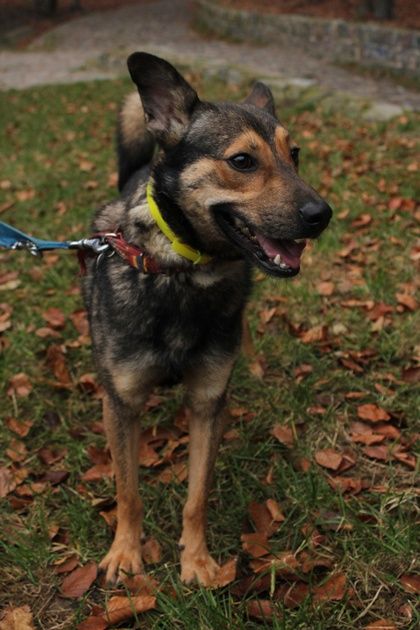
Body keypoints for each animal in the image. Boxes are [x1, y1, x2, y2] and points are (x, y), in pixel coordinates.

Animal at [82, 52, 332, 586]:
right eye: (242, 161)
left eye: (295, 154)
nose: (323, 214)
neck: (183, 274)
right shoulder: (121, 404)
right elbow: (128, 491)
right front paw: (125, 552)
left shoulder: (208, 403)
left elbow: (197, 496)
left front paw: (196, 560)